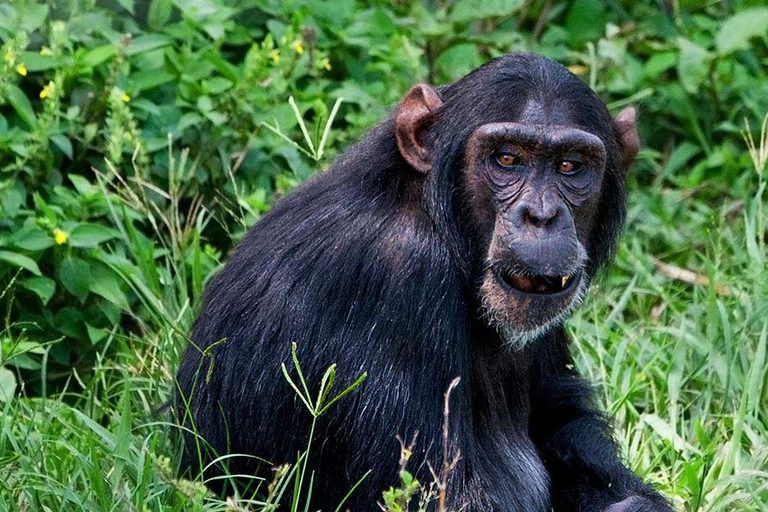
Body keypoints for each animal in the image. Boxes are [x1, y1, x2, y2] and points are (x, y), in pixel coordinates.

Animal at [177, 53, 676, 512]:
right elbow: (437, 493)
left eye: (570, 166)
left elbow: (562, 423)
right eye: (507, 159)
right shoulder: (399, 277)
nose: (541, 215)